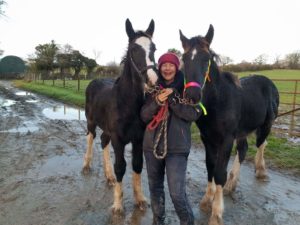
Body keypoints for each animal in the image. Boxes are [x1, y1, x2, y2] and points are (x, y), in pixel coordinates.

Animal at [82, 18, 157, 213]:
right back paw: (86, 166)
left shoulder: (138, 139)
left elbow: (137, 165)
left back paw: (108, 177)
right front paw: (117, 205)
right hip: (91, 122)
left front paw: (140, 199)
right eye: (134, 50)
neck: (126, 103)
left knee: (103, 140)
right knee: (91, 138)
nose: (153, 81)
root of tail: (93, 81)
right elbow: (120, 167)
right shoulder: (118, 139)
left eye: (154, 48)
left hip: (106, 130)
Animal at [178, 25, 278, 224]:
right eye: (184, 59)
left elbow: (219, 173)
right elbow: (210, 167)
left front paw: (216, 213)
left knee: (261, 144)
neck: (218, 101)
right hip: (242, 132)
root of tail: (269, 82)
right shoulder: (207, 139)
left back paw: (261, 171)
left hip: (266, 125)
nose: (192, 96)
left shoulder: (226, 140)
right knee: (244, 150)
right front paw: (207, 200)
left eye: (206, 59)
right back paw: (231, 185)